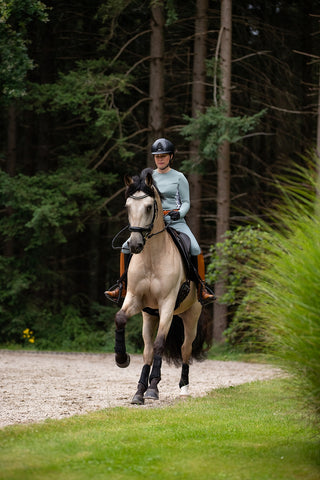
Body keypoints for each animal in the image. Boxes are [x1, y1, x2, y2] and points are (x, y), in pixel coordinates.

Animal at [114, 169, 211, 404]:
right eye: (128, 206)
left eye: (149, 207)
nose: (135, 245)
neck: (151, 257)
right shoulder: (135, 298)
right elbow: (120, 319)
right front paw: (122, 359)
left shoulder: (167, 302)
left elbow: (161, 343)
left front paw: (153, 388)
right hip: (150, 316)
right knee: (148, 349)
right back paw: (140, 389)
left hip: (190, 315)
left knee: (184, 349)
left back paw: (183, 387)